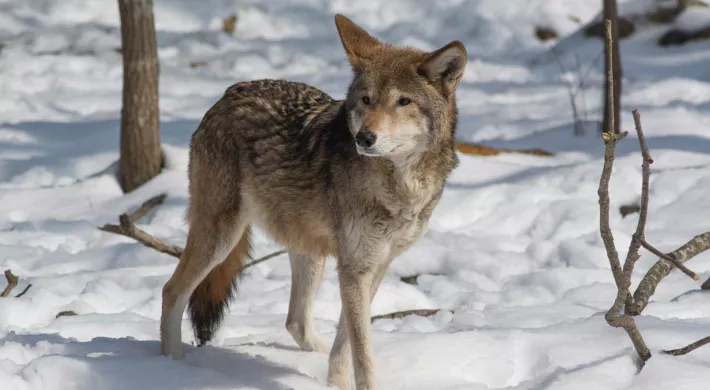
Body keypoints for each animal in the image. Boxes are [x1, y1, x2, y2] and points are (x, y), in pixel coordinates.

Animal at [163, 13, 468, 388]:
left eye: (403, 102)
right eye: (366, 100)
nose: (365, 138)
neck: (400, 184)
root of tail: (228, 94)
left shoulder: (375, 265)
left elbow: (347, 342)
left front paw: (336, 381)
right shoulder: (355, 268)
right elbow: (362, 352)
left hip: (309, 252)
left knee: (295, 321)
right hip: (221, 238)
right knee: (171, 292)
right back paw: (170, 367)